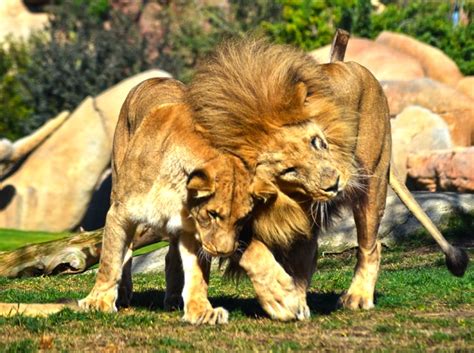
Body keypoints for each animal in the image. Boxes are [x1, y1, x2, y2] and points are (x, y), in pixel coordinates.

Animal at [187, 38, 468, 316]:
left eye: (316, 142)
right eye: (289, 170)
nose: (334, 184)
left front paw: (286, 299)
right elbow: (254, 253)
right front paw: (283, 297)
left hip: (372, 180)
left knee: (370, 246)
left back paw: (357, 297)